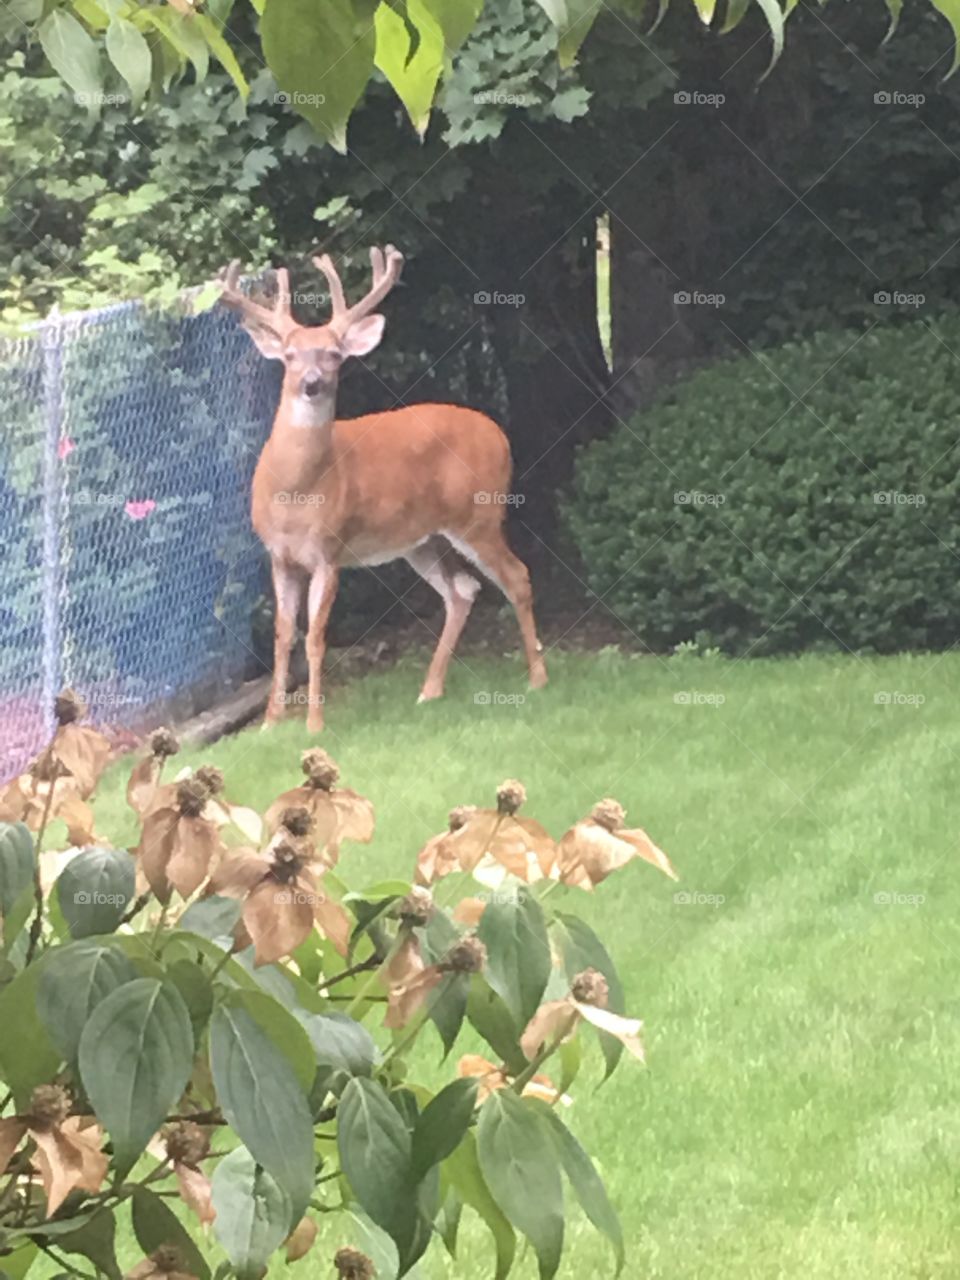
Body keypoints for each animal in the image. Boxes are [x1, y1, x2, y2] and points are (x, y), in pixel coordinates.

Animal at [219, 244, 548, 733]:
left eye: (334, 354)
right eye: (291, 355)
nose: (312, 384)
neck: (294, 493)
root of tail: (499, 434)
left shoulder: (329, 551)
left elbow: (315, 637)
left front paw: (314, 724)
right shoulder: (279, 556)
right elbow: (282, 635)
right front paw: (271, 723)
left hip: (479, 514)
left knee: (517, 576)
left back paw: (537, 678)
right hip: (421, 539)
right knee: (463, 591)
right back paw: (430, 690)